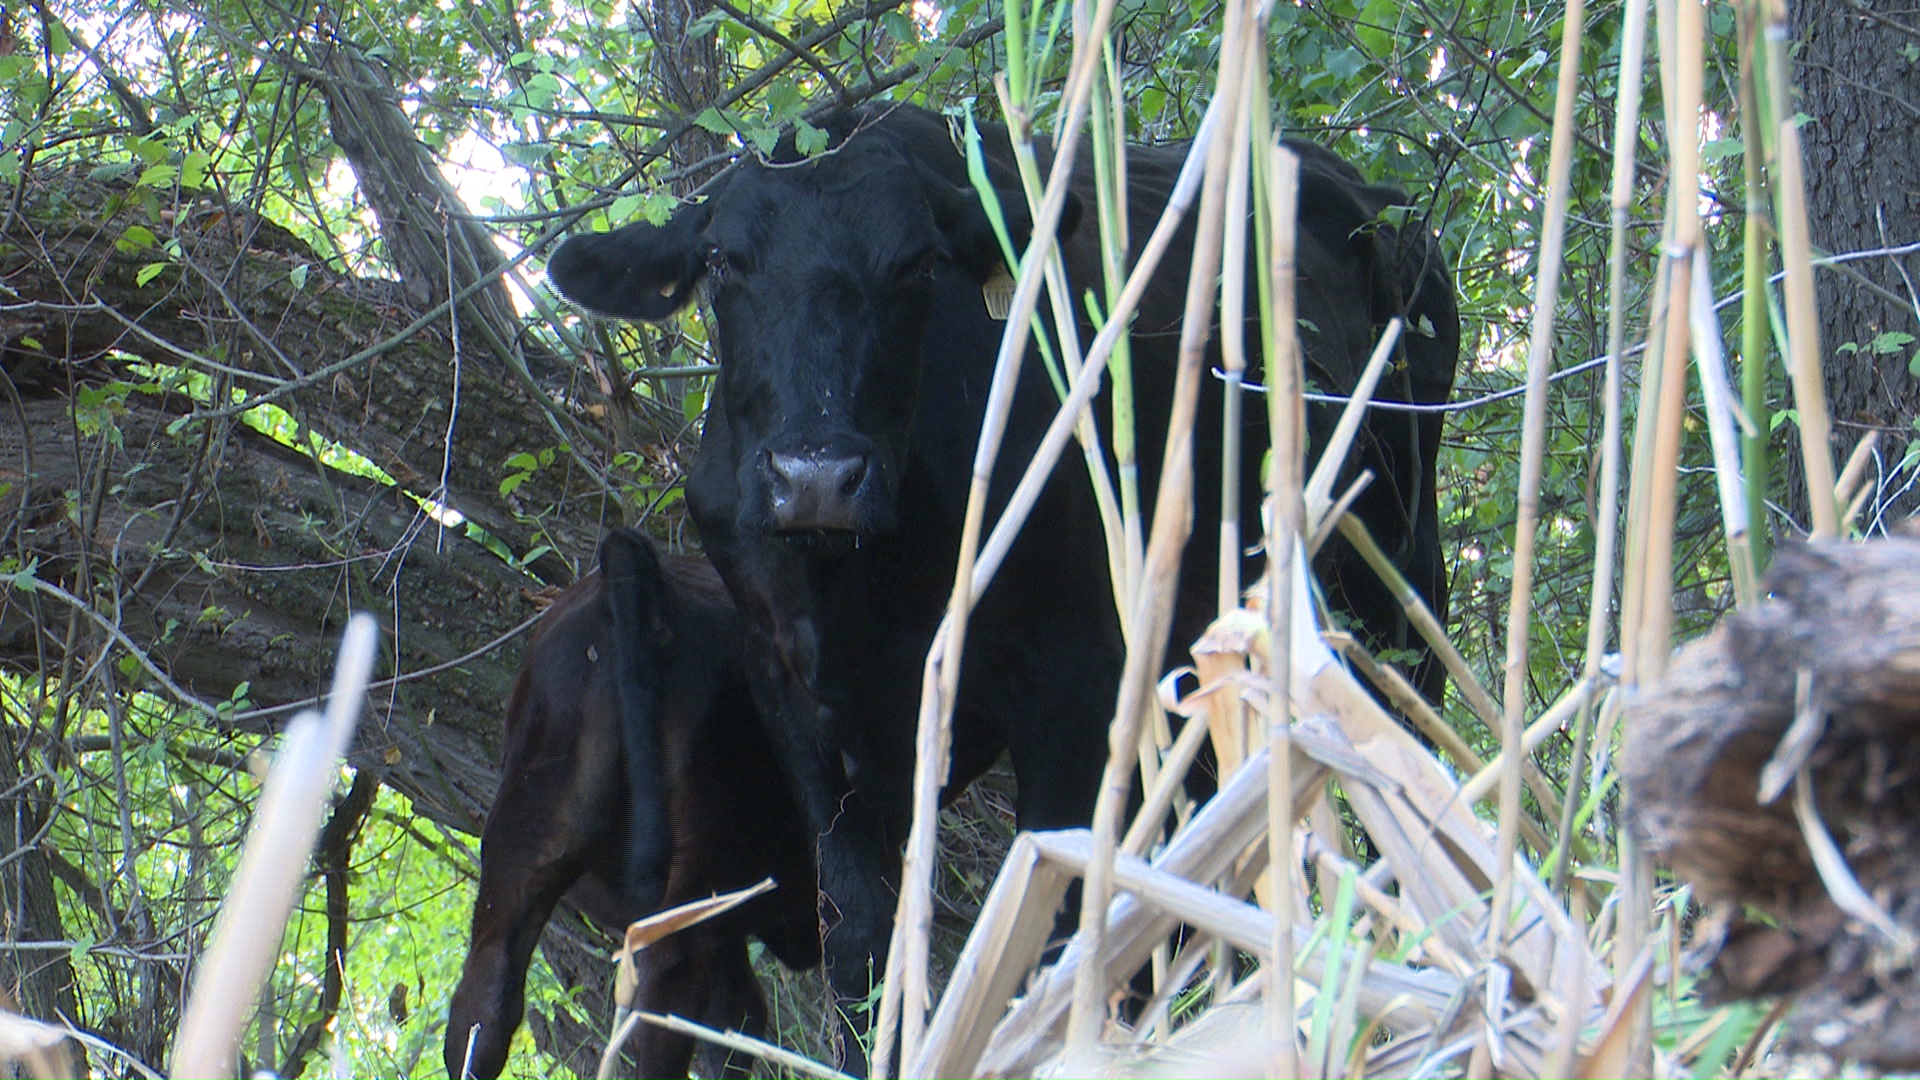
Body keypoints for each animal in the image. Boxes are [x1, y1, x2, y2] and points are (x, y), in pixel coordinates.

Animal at [549, 100, 1459, 1060]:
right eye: (724, 259)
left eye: (917, 263)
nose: (817, 474)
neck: (861, 584)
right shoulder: (791, 689)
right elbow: (862, 930)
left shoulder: (1074, 675)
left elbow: (1053, 920)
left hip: (1396, 564)